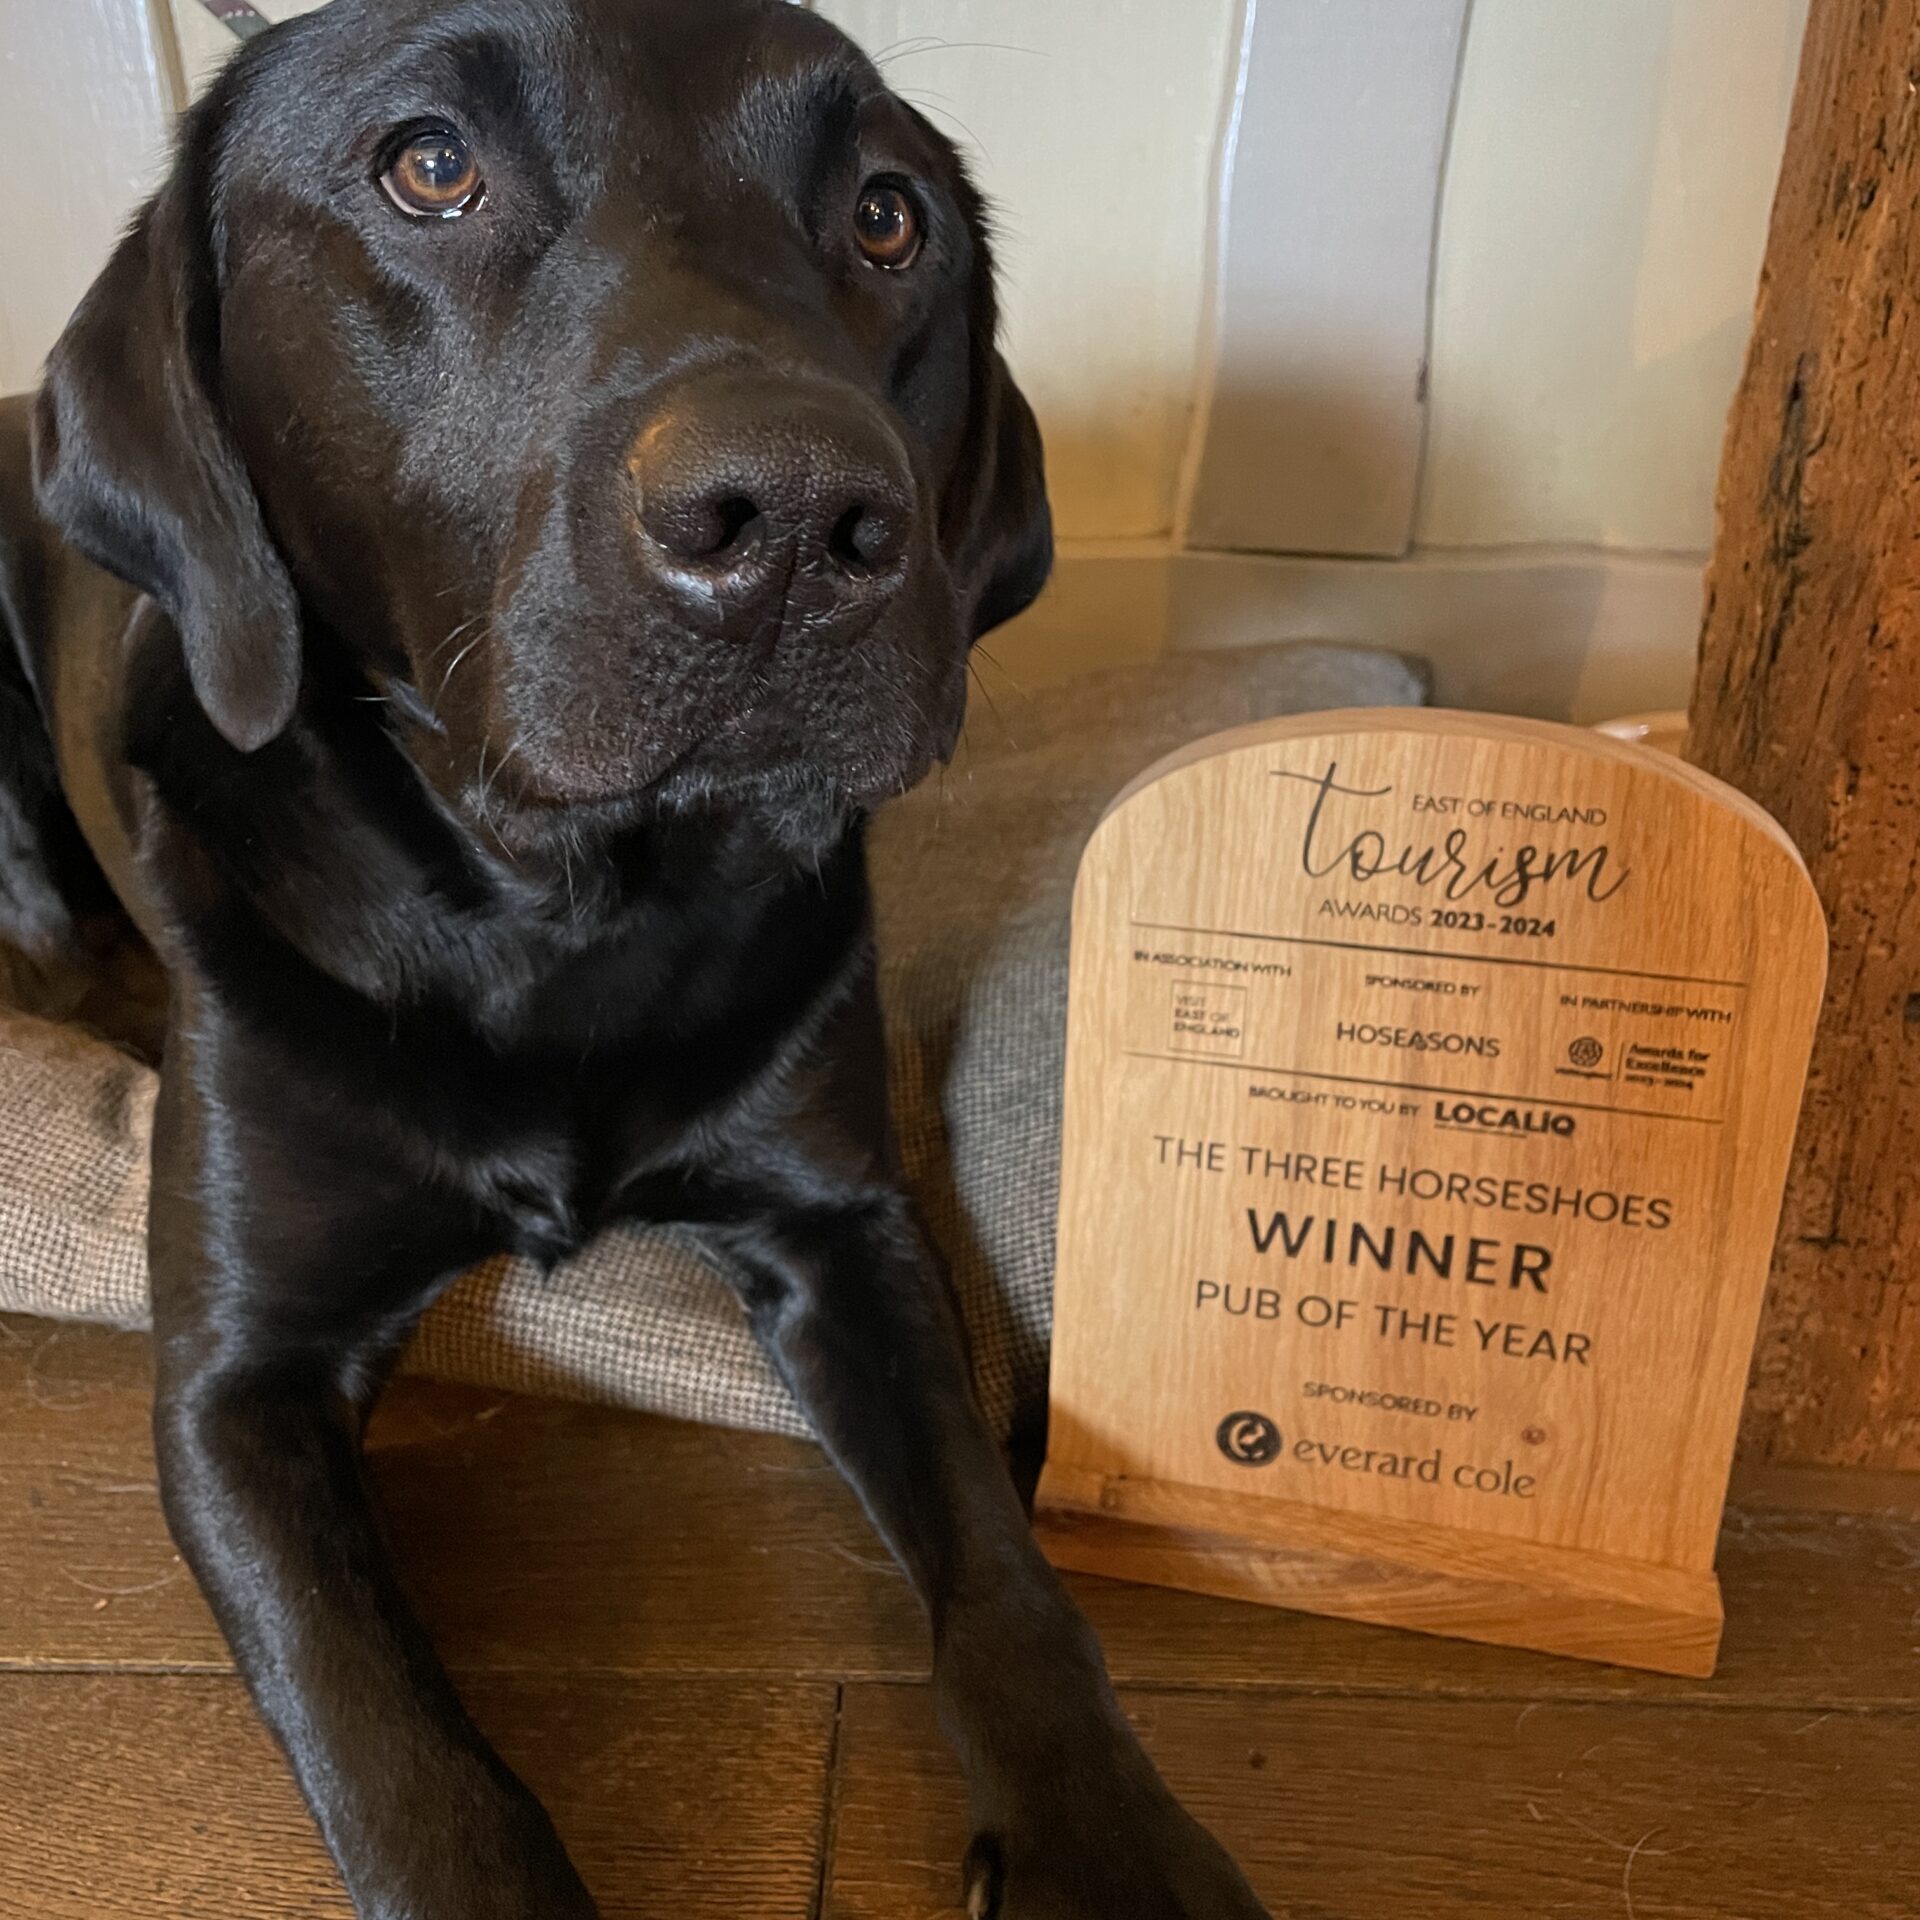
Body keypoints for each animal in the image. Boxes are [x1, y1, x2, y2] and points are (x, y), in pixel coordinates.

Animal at [3, 3, 1274, 1920]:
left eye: (888, 214)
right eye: (427, 166)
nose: (798, 519)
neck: (561, 914)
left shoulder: (846, 1225)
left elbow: (1007, 1578)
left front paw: (1116, 1849)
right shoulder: (236, 1382)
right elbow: (394, 1746)